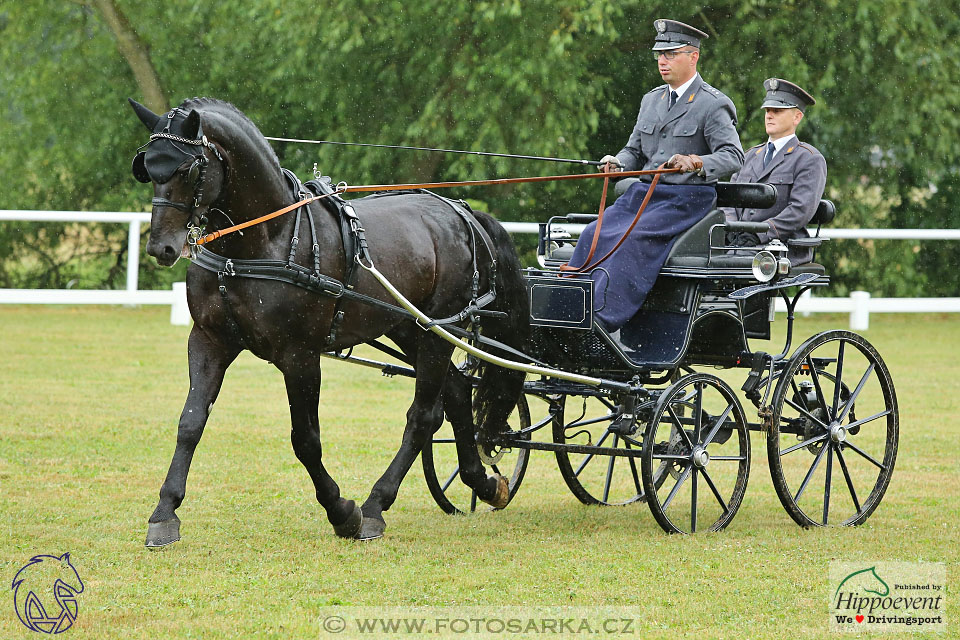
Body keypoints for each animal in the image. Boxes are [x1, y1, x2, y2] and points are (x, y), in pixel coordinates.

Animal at [129, 97, 524, 544]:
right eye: (147, 168)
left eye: (188, 169)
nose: (161, 247)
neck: (264, 240)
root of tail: (461, 211)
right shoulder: (209, 340)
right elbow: (191, 422)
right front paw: (165, 513)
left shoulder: (300, 355)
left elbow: (306, 440)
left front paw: (342, 511)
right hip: (411, 328)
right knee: (456, 392)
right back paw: (483, 483)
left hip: (439, 330)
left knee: (424, 414)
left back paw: (376, 505)